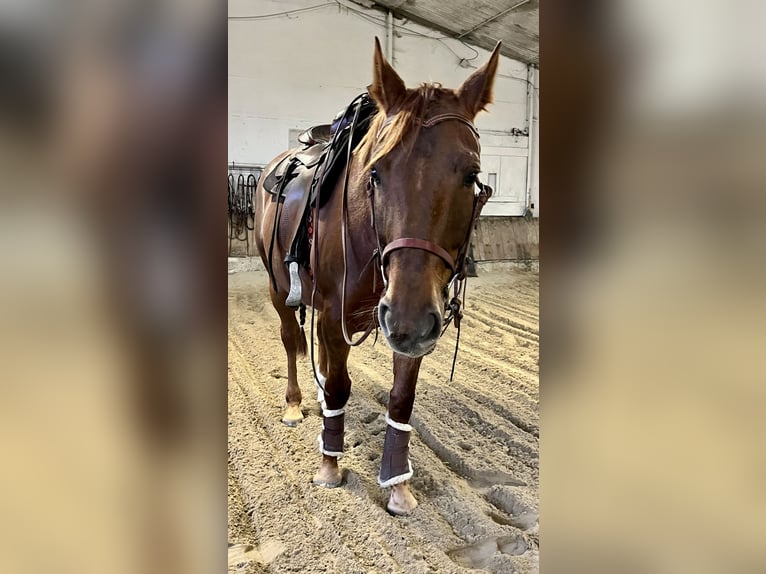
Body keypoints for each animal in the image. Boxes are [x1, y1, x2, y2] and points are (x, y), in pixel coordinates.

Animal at [254, 37, 500, 515]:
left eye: (471, 175)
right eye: (376, 174)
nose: (407, 318)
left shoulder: (414, 320)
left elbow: (400, 399)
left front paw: (398, 484)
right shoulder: (339, 315)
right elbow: (339, 385)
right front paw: (329, 465)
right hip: (279, 289)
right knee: (292, 341)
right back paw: (294, 404)